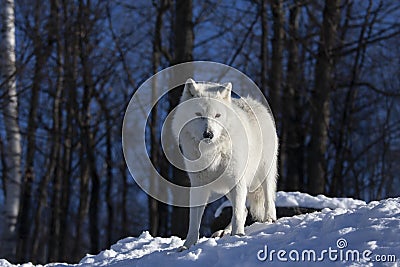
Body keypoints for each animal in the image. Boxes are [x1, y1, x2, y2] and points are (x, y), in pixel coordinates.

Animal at [172, 79, 278, 251]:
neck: (211, 152)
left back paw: (269, 219)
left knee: (267, 199)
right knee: (244, 209)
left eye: (217, 115)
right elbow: (194, 221)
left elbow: (237, 214)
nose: (208, 134)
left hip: (263, 173)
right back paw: (224, 232)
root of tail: (254, 103)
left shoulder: (238, 181)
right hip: (227, 188)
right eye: (199, 114)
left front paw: (238, 236)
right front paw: (187, 246)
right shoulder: (198, 185)